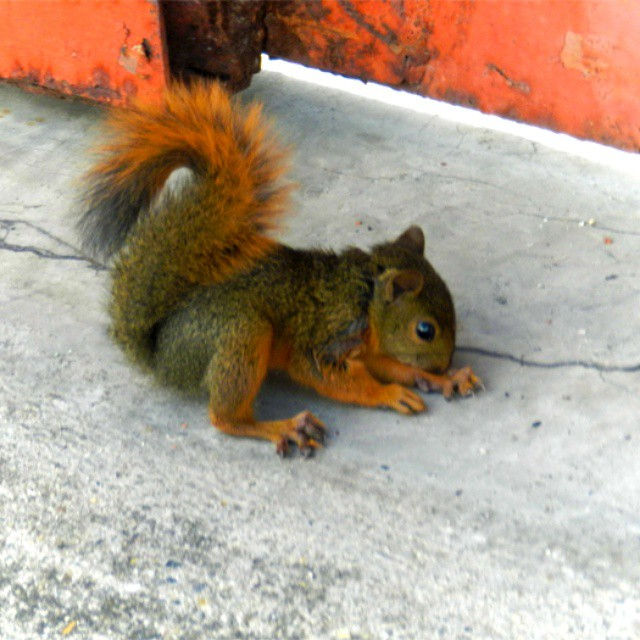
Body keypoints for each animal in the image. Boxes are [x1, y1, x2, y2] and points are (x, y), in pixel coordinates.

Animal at [78, 80, 481, 456]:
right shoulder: (327, 338)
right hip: (240, 332)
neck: (367, 296)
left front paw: (436, 379)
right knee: (224, 418)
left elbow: (389, 363)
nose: (444, 364)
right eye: (425, 330)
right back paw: (280, 427)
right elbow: (328, 375)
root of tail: (160, 356)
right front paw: (389, 393)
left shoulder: (367, 348)